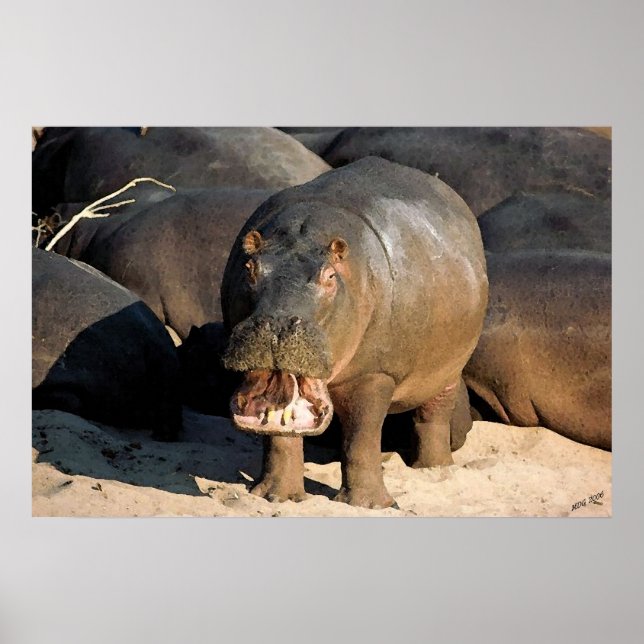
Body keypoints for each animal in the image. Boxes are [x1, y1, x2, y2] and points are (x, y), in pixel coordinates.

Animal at [220, 157, 488, 508]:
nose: (276, 325)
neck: (302, 236)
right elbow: (281, 436)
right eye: (249, 268)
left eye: (330, 276)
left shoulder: (374, 375)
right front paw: (278, 497)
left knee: (433, 418)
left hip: (448, 371)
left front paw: (370, 504)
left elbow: (361, 438)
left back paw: (435, 469)